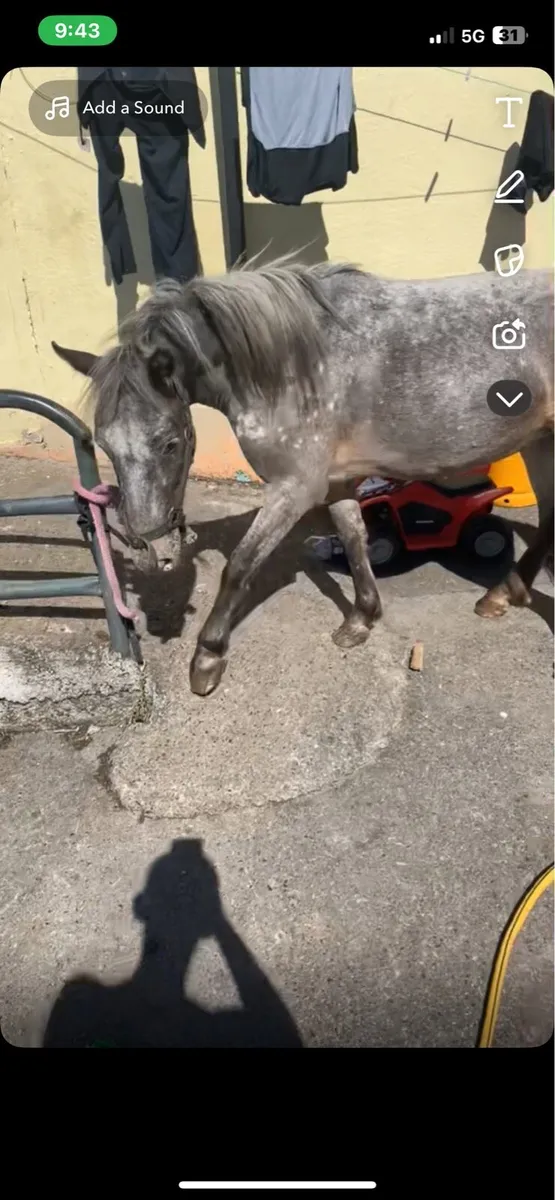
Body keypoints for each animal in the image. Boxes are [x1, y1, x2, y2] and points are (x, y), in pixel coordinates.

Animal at [52, 258, 554, 697]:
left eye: (170, 443)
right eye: (105, 444)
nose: (155, 551)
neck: (291, 366)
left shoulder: (294, 488)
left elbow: (240, 566)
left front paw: (207, 658)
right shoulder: (336, 481)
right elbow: (355, 541)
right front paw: (360, 620)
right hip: (539, 441)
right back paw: (502, 595)